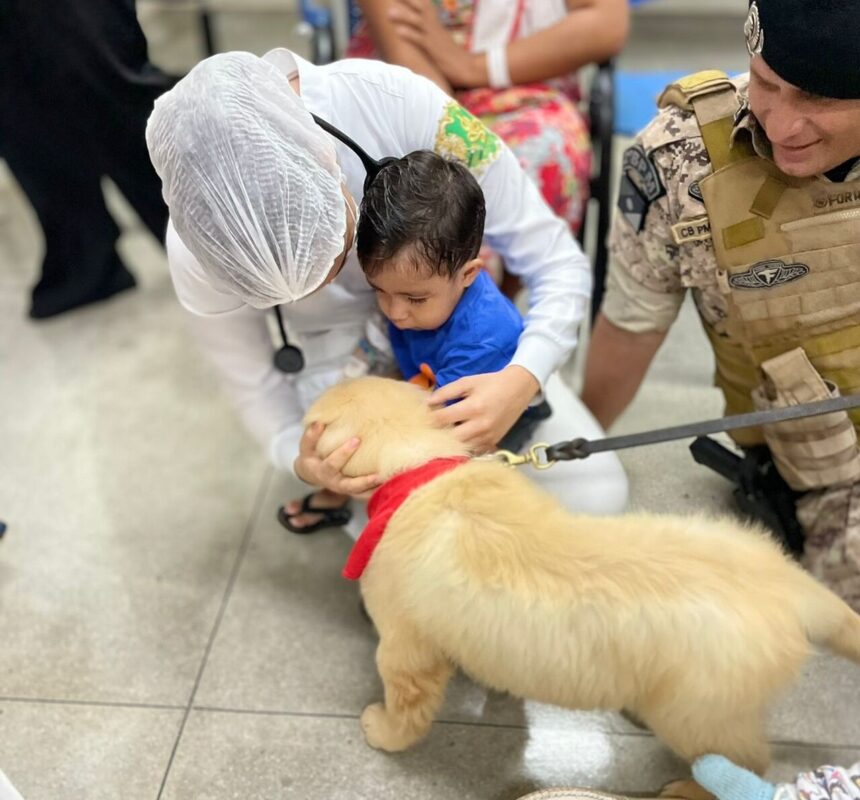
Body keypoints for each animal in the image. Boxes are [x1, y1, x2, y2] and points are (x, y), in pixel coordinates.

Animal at [304, 378, 860, 780]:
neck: (418, 467)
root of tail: (791, 585)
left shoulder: (404, 648)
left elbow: (407, 704)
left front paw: (383, 731)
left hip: (702, 716)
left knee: (744, 761)